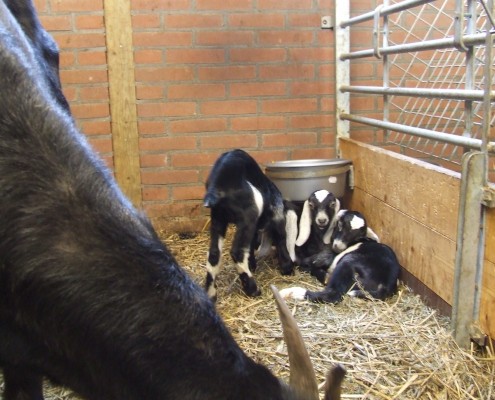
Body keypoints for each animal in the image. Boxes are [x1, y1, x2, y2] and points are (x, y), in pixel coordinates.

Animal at [0, 1, 344, 398]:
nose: (285, 268)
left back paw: (212, 291)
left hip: (218, 220)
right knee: (234, 252)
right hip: (238, 218)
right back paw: (249, 287)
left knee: (214, 255)